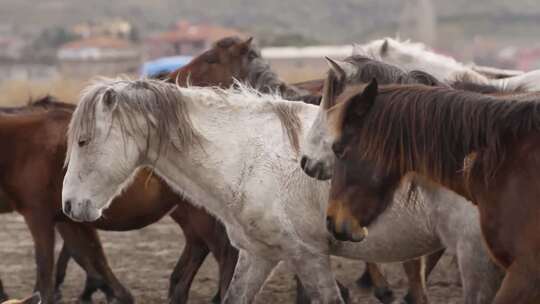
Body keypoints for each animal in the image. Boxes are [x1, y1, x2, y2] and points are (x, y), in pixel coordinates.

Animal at [62, 79, 502, 304]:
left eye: (84, 141)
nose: (69, 206)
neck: (247, 156)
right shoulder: (259, 255)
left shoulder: (308, 256)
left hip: (476, 256)